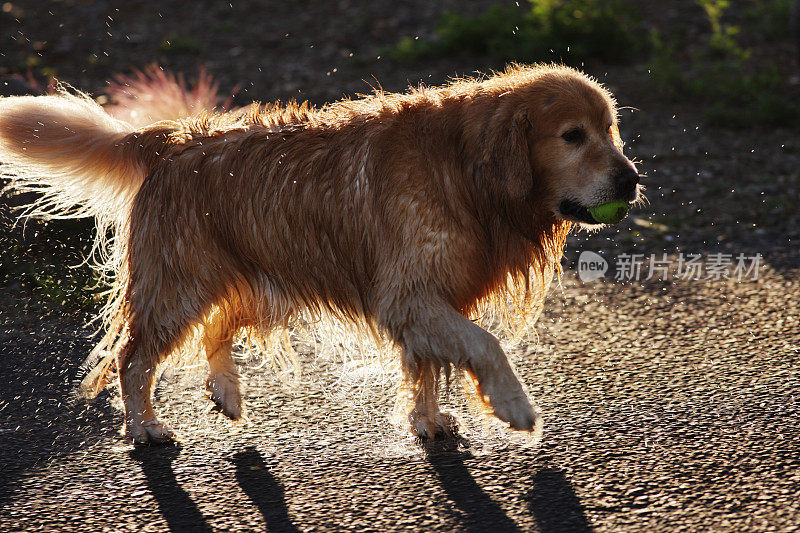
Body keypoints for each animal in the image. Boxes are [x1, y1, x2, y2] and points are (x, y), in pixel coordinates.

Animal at [0, 64, 636, 442]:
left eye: (611, 129)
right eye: (573, 135)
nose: (631, 181)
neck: (466, 169)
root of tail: (171, 138)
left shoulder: (427, 299)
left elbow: (426, 367)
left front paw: (429, 420)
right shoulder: (409, 296)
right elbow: (485, 344)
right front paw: (512, 405)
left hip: (258, 272)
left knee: (218, 326)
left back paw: (226, 392)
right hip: (180, 285)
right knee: (134, 358)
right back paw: (145, 426)